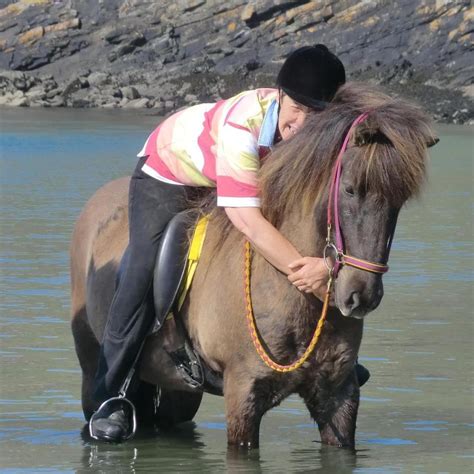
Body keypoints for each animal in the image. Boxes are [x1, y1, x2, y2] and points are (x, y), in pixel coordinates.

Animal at [68, 82, 436, 448]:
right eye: (349, 190)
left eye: (399, 201)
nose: (361, 295)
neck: (286, 291)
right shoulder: (243, 393)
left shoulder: (338, 394)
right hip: (92, 361)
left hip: (176, 392)